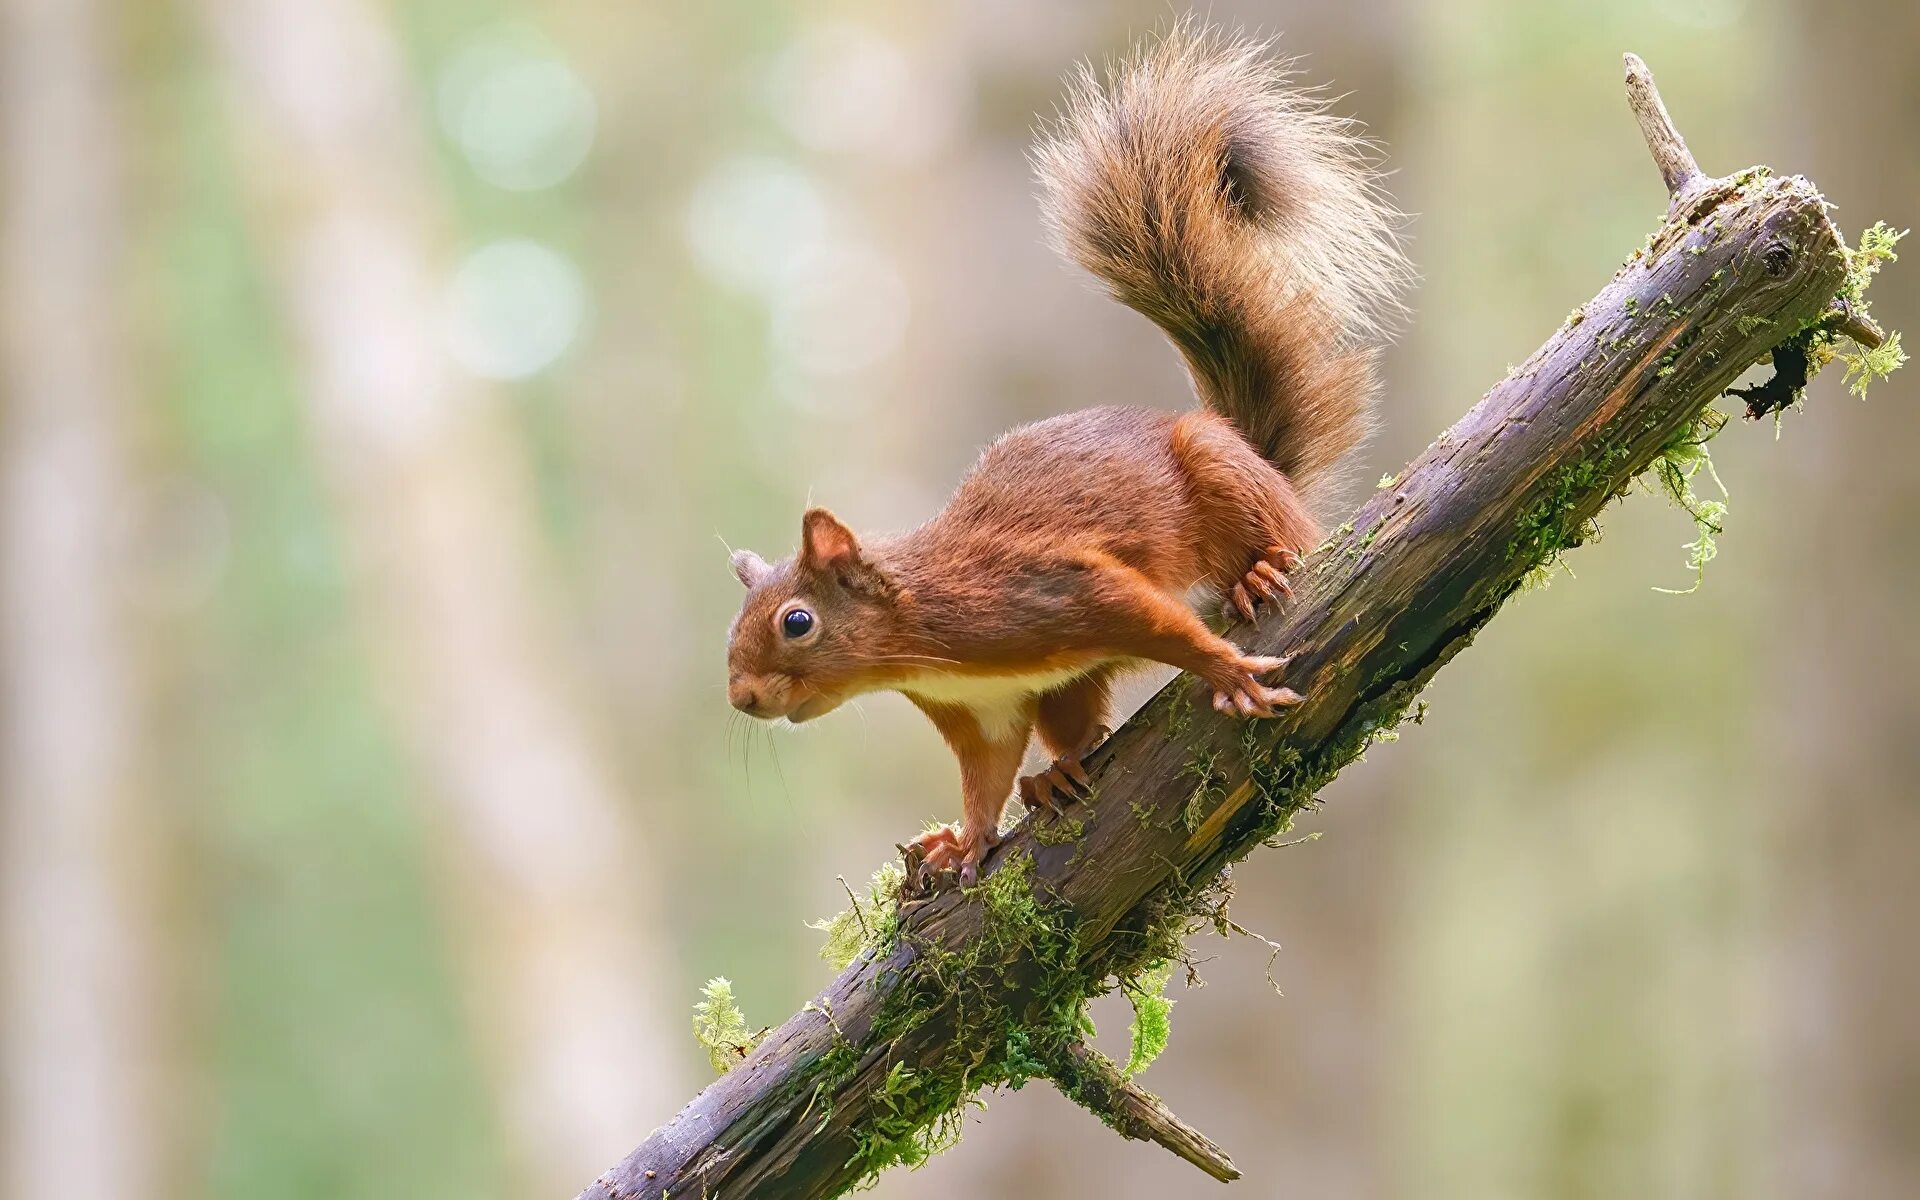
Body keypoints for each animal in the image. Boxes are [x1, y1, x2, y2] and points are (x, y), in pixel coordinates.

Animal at [721, 28, 1413, 883]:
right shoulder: (982, 712)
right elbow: (984, 778)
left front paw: (1226, 672)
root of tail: (1256, 455)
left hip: (1224, 477)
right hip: (1069, 687)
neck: (921, 638)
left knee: (1268, 543)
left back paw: (1258, 574)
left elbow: (1158, 621)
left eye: (797, 621)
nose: (743, 698)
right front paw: (967, 839)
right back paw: (1055, 775)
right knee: (1075, 721)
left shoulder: (1057, 589)